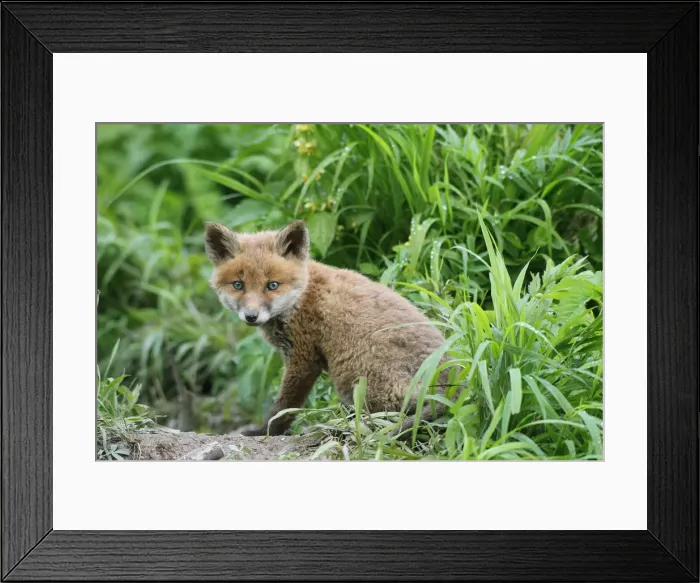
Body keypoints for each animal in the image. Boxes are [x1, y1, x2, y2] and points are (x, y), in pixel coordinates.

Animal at [204, 219, 450, 437]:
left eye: (272, 285)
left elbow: (284, 407)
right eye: (238, 285)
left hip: (354, 378)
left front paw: (266, 432)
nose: (251, 316)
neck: (301, 297)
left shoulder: (303, 359)